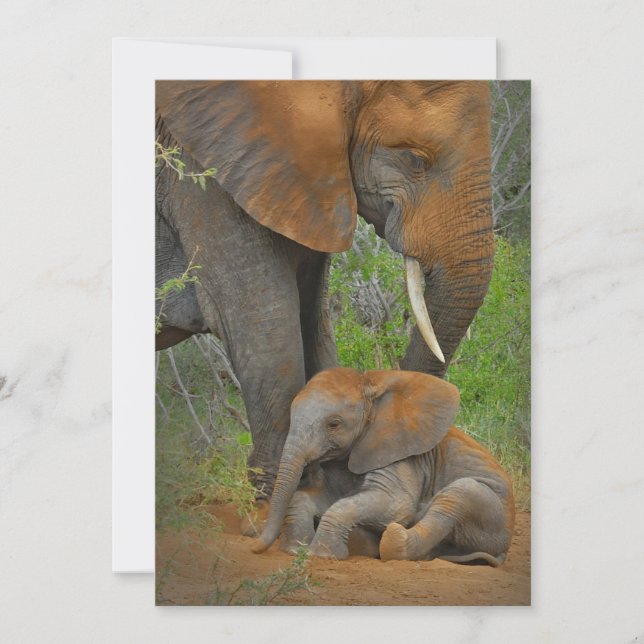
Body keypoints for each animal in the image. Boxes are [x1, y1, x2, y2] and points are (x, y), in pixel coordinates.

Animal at [252, 367, 515, 566]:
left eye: (334, 424)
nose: (255, 548)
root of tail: (504, 548)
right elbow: (320, 497)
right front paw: (296, 550)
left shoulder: (401, 455)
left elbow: (395, 503)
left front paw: (322, 555)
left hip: (492, 514)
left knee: (457, 495)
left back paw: (395, 537)